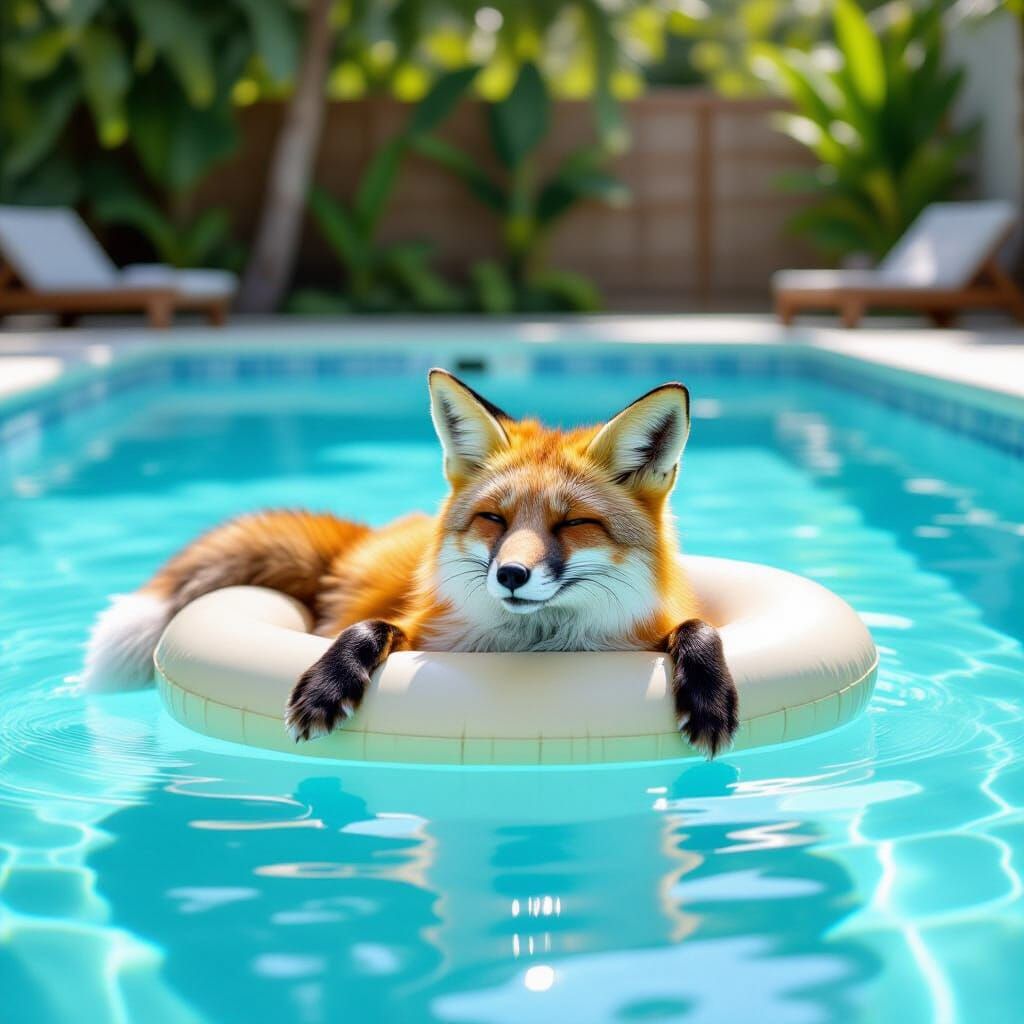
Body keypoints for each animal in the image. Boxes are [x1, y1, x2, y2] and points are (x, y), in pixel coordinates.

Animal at [83, 368, 739, 756]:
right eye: (494, 519)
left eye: (573, 524)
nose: (510, 575)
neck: (535, 649)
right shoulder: (423, 629)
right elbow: (372, 627)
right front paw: (328, 686)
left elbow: (697, 626)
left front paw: (709, 696)